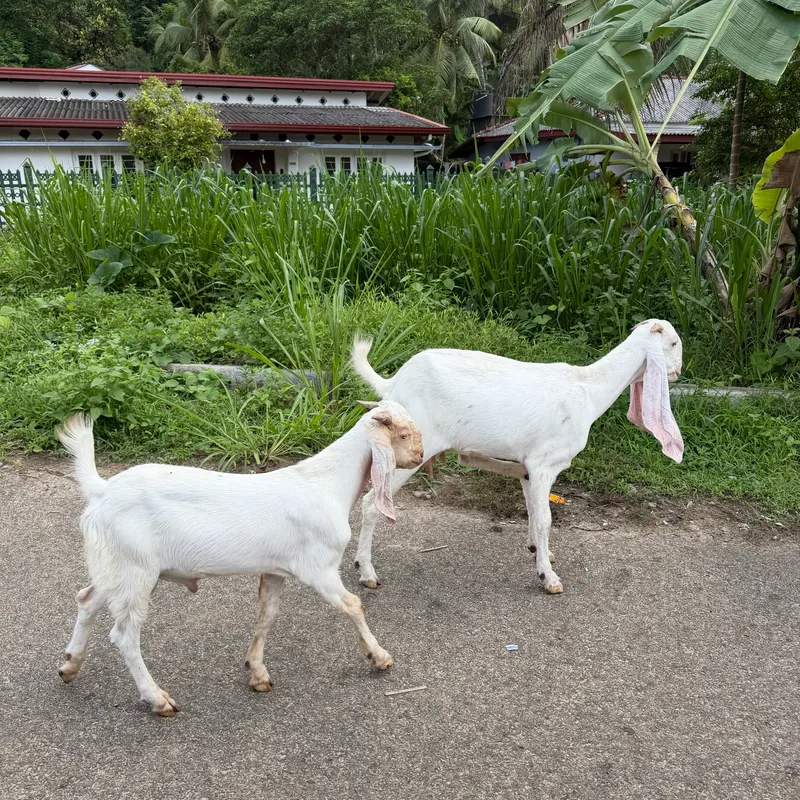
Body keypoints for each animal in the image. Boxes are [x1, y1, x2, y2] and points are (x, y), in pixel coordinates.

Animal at [56, 401, 423, 716]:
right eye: (404, 434)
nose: (421, 456)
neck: (328, 485)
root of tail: (102, 492)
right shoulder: (319, 568)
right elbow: (352, 605)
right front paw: (380, 657)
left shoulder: (276, 569)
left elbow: (267, 615)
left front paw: (257, 672)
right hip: (135, 570)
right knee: (124, 635)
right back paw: (157, 698)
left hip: (116, 567)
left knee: (87, 599)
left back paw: (69, 664)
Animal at [351, 320, 684, 595]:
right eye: (674, 343)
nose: (679, 372)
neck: (588, 390)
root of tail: (394, 384)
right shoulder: (544, 463)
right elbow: (546, 518)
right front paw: (549, 578)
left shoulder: (528, 467)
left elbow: (533, 510)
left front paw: (539, 551)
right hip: (411, 451)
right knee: (371, 503)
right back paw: (366, 572)